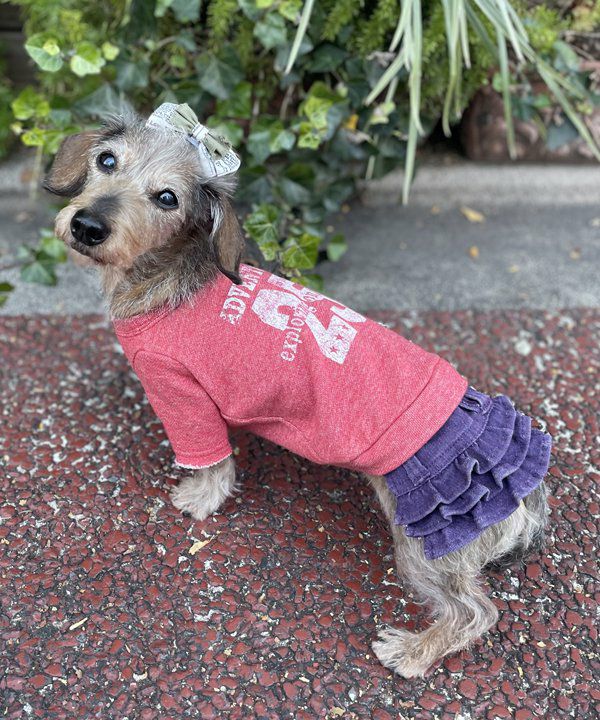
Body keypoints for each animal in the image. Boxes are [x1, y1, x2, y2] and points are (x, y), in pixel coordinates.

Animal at [44, 109, 550, 679]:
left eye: (167, 198)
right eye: (107, 161)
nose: (87, 225)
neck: (167, 272)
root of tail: (529, 491)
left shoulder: (180, 394)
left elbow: (213, 465)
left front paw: (198, 499)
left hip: (426, 544)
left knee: (476, 613)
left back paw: (413, 652)